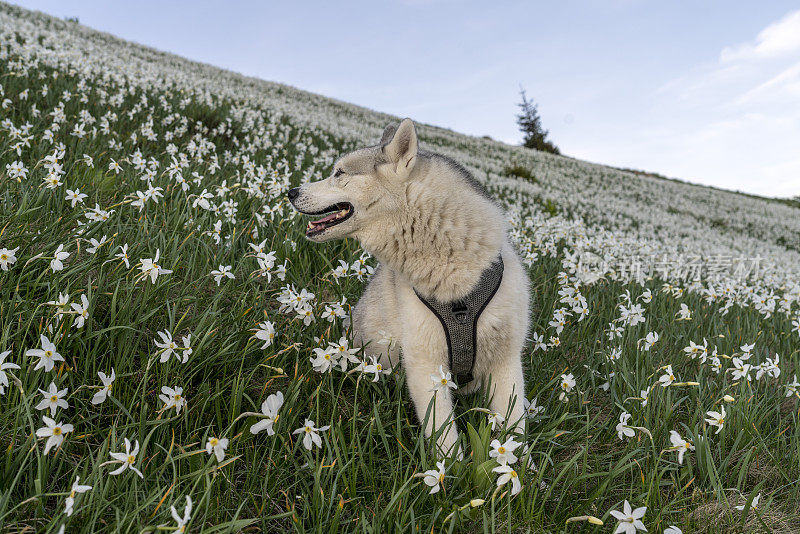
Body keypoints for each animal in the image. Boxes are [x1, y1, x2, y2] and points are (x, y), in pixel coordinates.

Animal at [290, 118, 532, 456]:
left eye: (339, 173)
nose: (291, 191)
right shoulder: (425, 364)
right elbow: (445, 439)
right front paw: (451, 470)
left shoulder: (506, 360)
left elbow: (514, 429)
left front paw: (517, 465)